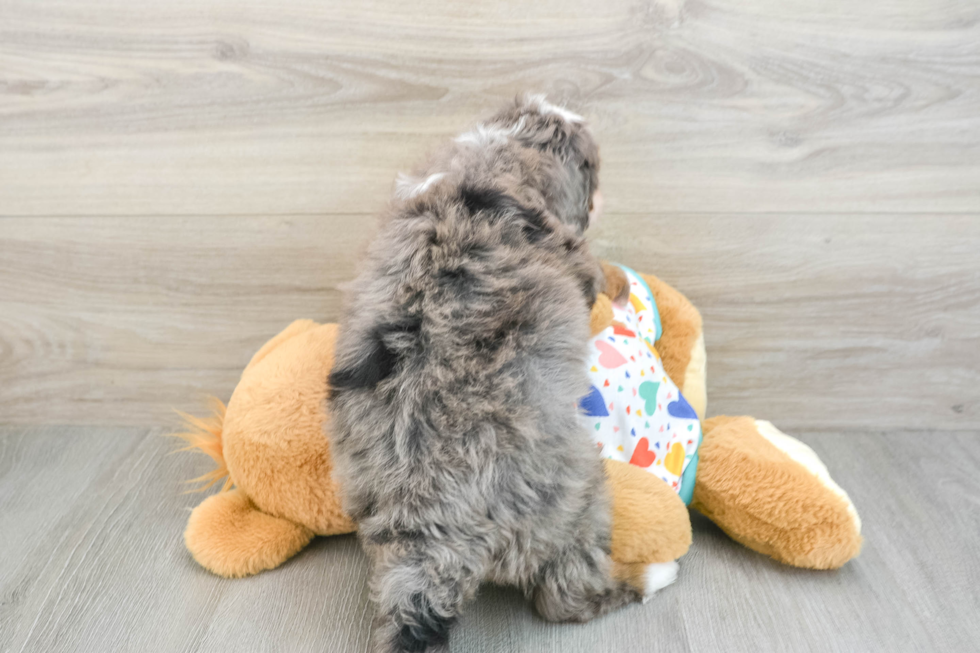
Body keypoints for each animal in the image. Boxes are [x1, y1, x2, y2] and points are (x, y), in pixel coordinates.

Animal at [326, 93, 668, 652]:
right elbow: (595, 279)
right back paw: (652, 576)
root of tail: (432, 537)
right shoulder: (577, 262)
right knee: (565, 596)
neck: (503, 149)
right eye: (591, 168)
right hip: (579, 498)